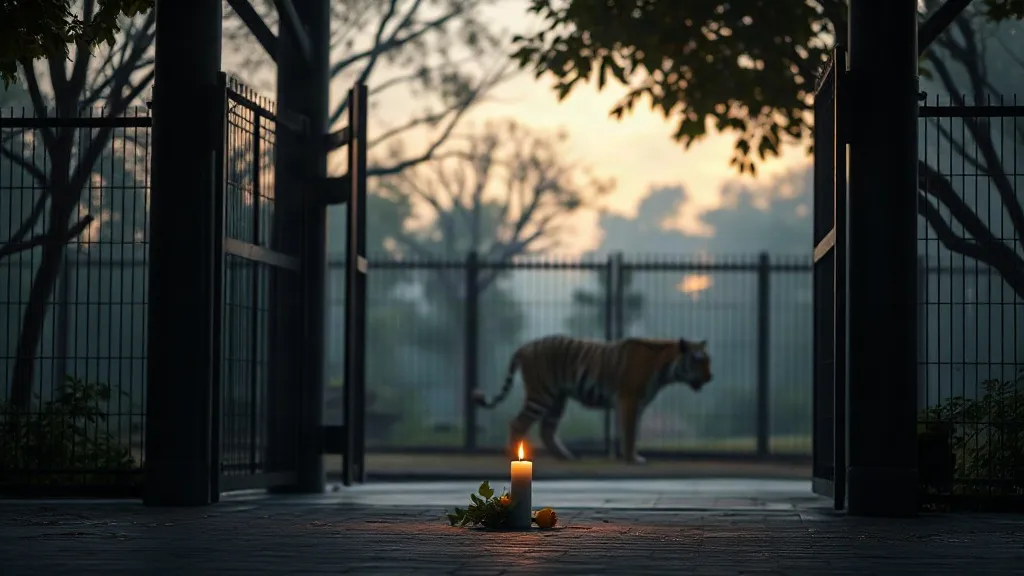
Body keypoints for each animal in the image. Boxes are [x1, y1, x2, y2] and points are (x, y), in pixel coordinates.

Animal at [471, 335, 713, 464]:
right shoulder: (629, 399)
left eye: (708, 360)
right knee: (518, 423)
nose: (711, 377)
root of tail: (525, 346)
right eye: (698, 361)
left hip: (557, 399)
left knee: (547, 430)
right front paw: (633, 459)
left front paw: (629, 456)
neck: (665, 370)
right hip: (541, 394)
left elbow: (629, 431)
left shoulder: (635, 404)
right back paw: (513, 454)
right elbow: (630, 432)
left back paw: (566, 456)